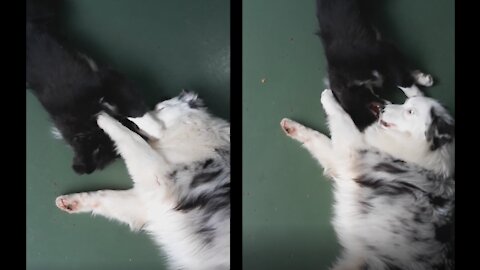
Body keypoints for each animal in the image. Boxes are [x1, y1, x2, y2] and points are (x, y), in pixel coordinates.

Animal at [54, 92, 231, 268]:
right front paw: (70, 202)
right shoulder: (145, 204)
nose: (145, 110)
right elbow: (104, 195)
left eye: (161, 108)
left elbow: (129, 136)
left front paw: (105, 116)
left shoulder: (158, 176)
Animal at [282, 85, 454, 268]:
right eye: (405, 102)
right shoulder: (343, 159)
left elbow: (342, 116)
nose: (382, 107)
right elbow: (317, 136)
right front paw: (291, 126)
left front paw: (329, 97)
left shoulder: (352, 152)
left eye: (410, 112)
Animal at [316, 0, 434, 131]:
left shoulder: (383, 50)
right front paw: (420, 78)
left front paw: (416, 93)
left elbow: (400, 78)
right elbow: (401, 71)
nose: (383, 113)